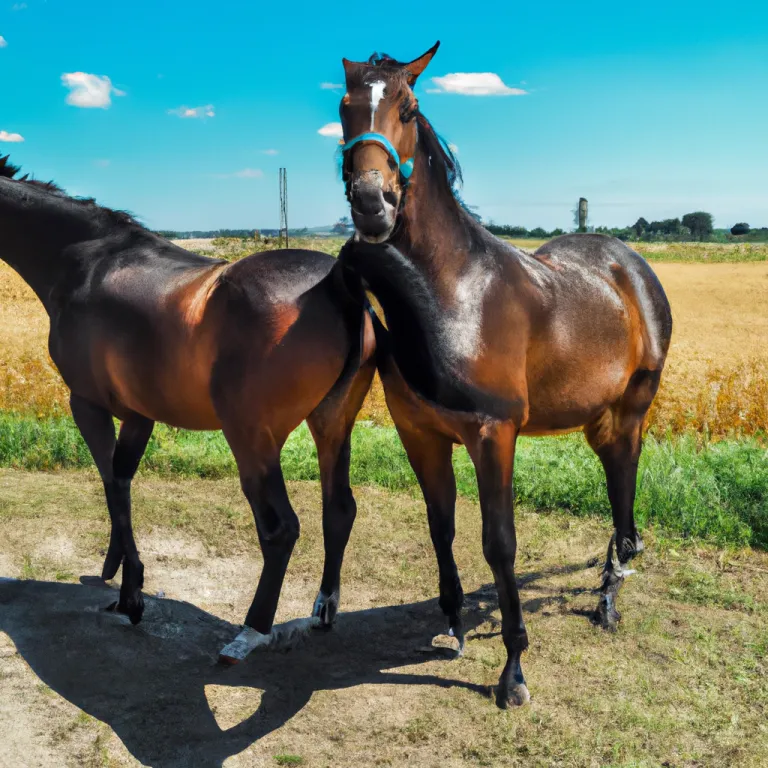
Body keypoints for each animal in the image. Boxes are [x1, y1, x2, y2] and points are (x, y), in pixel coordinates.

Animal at [0, 155, 376, 661]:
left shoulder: (88, 404)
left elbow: (110, 483)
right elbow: (121, 481)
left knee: (281, 529)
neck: (87, 260)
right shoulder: (139, 414)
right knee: (338, 509)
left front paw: (131, 593)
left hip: (252, 442)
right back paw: (324, 608)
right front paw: (121, 576)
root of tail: (335, 282)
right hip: (332, 427)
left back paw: (252, 630)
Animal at [335, 44, 673, 707]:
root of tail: (631, 266)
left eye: (407, 108)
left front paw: (514, 666)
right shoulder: (422, 436)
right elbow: (441, 527)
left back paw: (609, 597)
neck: (454, 291)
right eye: (343, 107)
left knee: (623, 493)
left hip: (627, 415)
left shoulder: (495, 436)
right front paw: (452, 624)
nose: (370, 203)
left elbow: (500, 543)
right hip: (596, 420)